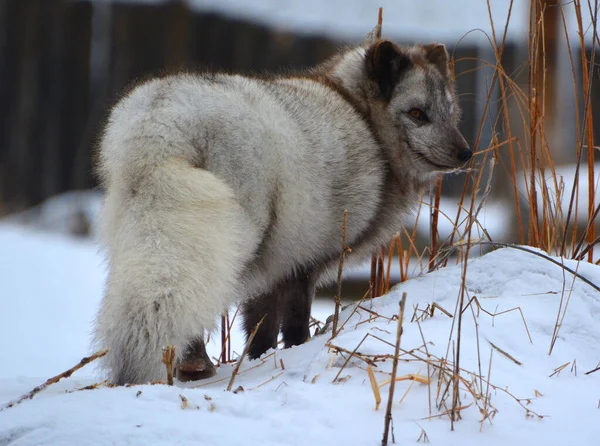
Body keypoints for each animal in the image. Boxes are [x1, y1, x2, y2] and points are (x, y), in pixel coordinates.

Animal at [94, 40, 472, 386]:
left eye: (449, 110)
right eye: (417, 114)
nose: (465, 153)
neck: (365, 123)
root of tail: (163, 118)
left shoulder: (272, 264)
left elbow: (259, 326)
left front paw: (257, 359)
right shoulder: (303, 262)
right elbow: (292, 323)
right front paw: (294, 352)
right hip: (233, 240)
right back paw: (196, 367)